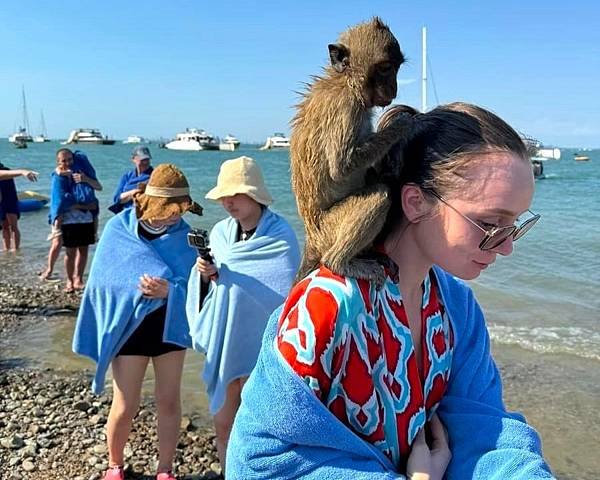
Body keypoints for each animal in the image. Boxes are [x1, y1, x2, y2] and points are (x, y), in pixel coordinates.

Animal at [292, 16, 418, 284]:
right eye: (385, 68)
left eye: (396, 67)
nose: (393, 88)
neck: (345, 80)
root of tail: (311, 239)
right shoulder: (345, 106)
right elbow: (342, 167)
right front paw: (401, 125)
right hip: (328, 231)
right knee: (380, 196)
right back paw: (339, 263)